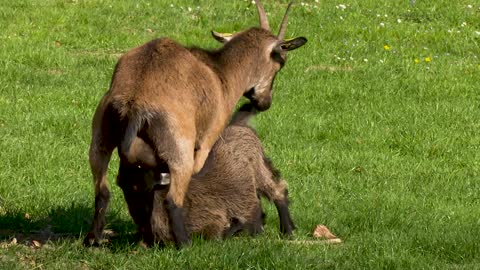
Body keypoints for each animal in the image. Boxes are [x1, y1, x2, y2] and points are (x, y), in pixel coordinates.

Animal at [117, 104, 294, 247]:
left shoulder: (213, 220)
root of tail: (238, 124)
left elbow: (222, 233)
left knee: (278, 190)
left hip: (258, 166)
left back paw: (287, 230)